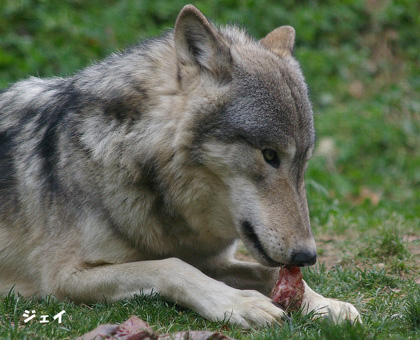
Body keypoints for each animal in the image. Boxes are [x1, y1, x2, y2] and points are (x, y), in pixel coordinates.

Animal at [0, 3, 360, 326]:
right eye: (270, 155)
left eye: (303, 161)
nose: (307, 256)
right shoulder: (63, 277)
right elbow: (170, 266)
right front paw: (238, 303)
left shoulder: (212, 260)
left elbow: (266, 271)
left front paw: (323, 303)